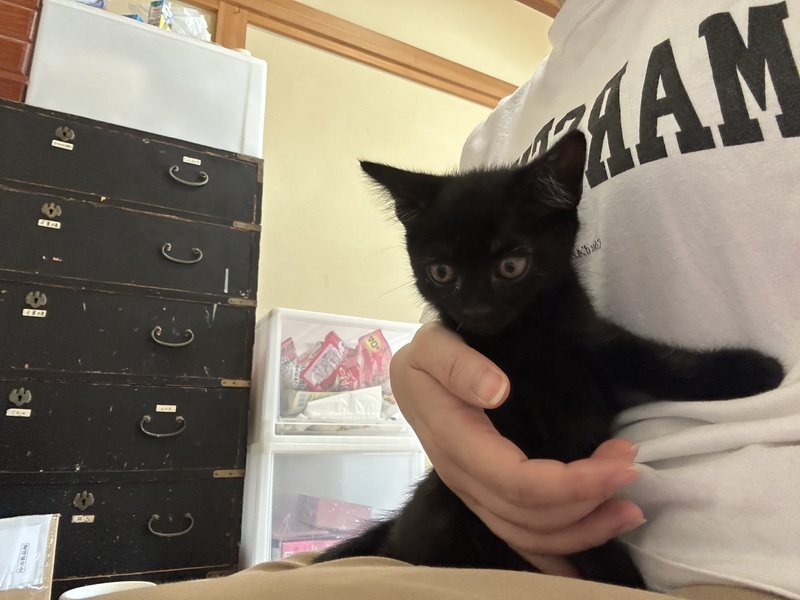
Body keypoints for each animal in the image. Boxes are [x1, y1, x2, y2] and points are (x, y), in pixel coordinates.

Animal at [313, 130, 784, 587]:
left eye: (511, 266)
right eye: (442, 273)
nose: (477, 310)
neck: (526, 341)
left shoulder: (592, 338)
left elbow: (651, 359)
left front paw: (752, 370)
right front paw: (622, 577)